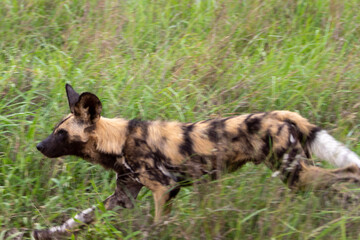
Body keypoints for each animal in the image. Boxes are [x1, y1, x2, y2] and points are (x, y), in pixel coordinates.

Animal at [33, 84, 360, 238]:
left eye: (61, 133)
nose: (38, 146)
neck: (118, 140)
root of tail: (280, 114)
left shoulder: (166, 188)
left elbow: (156, 226)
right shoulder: (123, 195)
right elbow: (77, 220)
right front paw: (44, 234)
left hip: (295, 175)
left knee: (349, 170)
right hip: (301, 177)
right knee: (339, 190)